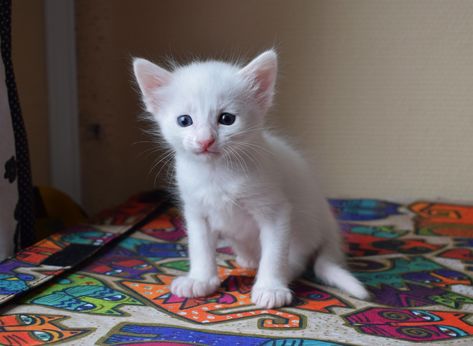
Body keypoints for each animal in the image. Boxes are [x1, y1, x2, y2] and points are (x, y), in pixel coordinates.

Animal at [133, 50, 368, 308]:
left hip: (304, 226)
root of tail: (328, 226)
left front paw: (271, 288)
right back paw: (248, 259)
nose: (205, 140)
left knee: (298, 258)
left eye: (226, 119)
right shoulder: (196, 212)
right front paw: (200, 279)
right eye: (184, 121)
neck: (216, 174)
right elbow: (200, 247)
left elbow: (274, 253)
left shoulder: (276, 211)